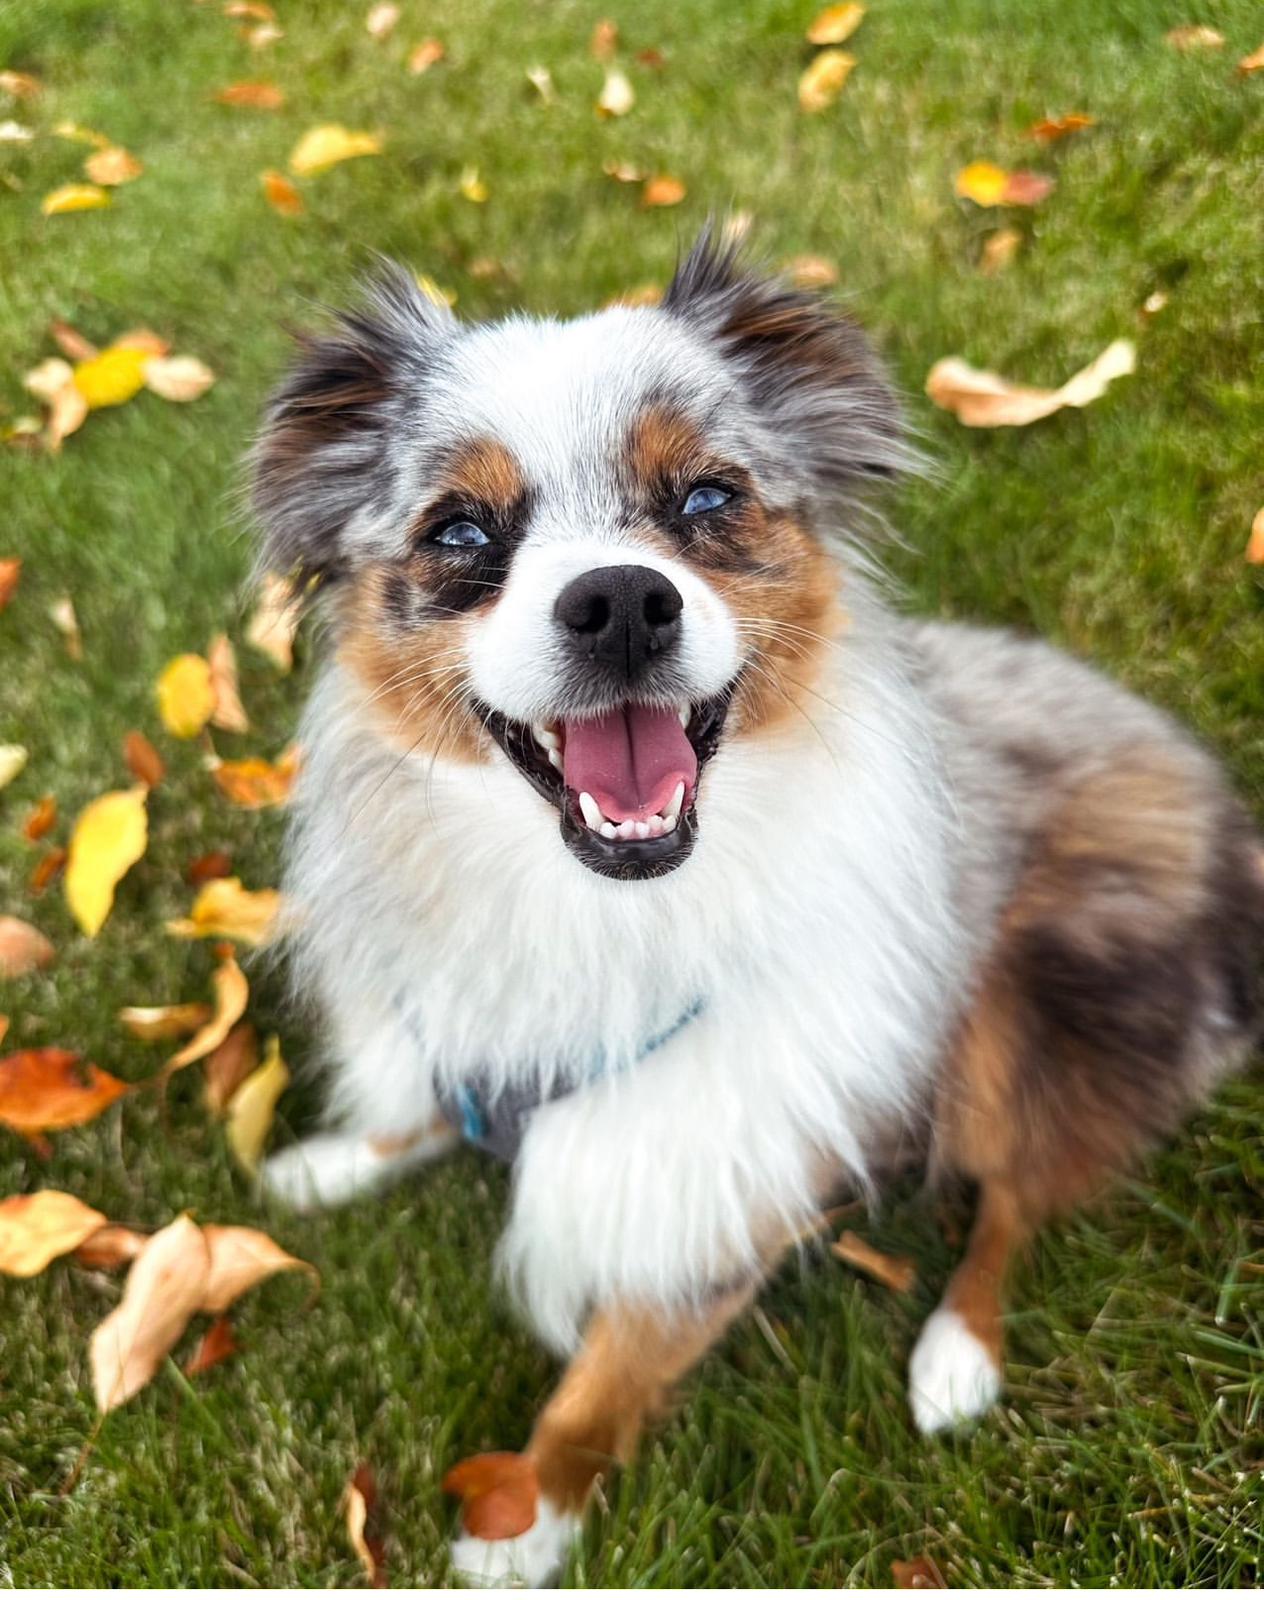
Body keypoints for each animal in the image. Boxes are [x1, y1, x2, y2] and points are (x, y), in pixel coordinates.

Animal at [249, 233, 1264, 1587]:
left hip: (1026, 1010)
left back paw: (957, 1355)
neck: (590, 906)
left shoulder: (719, 1157)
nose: (622, 603)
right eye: (459, 529)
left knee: (1017, 1197)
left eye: (706, 501)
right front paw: (328, 1164)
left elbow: (609, 1370)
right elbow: (421, 1100)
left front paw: (529, 1516)